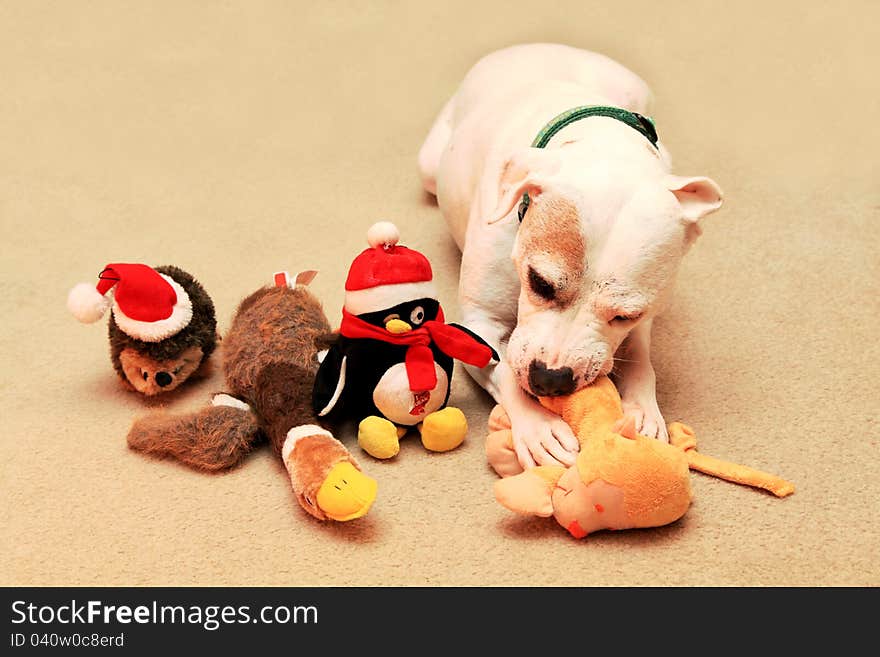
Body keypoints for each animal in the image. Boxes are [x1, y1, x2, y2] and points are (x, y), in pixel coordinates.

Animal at [418, 43, 720, 468]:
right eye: (539, 282)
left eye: (626, 316)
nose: (550, 379)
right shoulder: (476, 323)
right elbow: (505, 370)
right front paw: (539, 426)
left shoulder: (646, 314)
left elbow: (641, 358)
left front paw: (643, 410)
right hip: (429, 165)